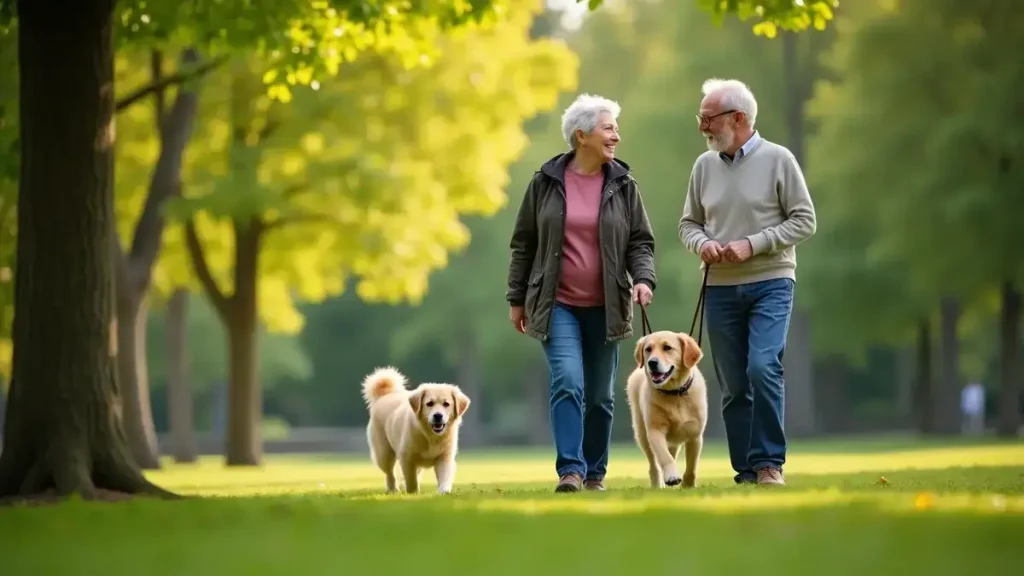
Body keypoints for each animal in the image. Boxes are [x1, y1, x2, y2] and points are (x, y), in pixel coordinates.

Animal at [362, 366, 468, 494]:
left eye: (446, 404)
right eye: (429, 403)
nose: (438, 416)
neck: (430, 437)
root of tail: (385, 395)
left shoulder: (445, 456)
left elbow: (444, 476)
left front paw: (444, 491)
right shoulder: (407, 457)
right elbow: (411, 479)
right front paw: (413, 493)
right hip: (384, 454)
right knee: (389, 473)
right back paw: (393, 489)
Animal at [618, 330, 708, 485]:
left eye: (667, 348)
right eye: (648, 349)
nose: (651, 362)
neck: (675, 393)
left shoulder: (694, 434)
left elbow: (691, 467)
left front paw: (688, 485)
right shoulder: (655, 431)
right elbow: (665, 458)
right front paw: (671, 476)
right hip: (642, 434)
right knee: (654, 466)